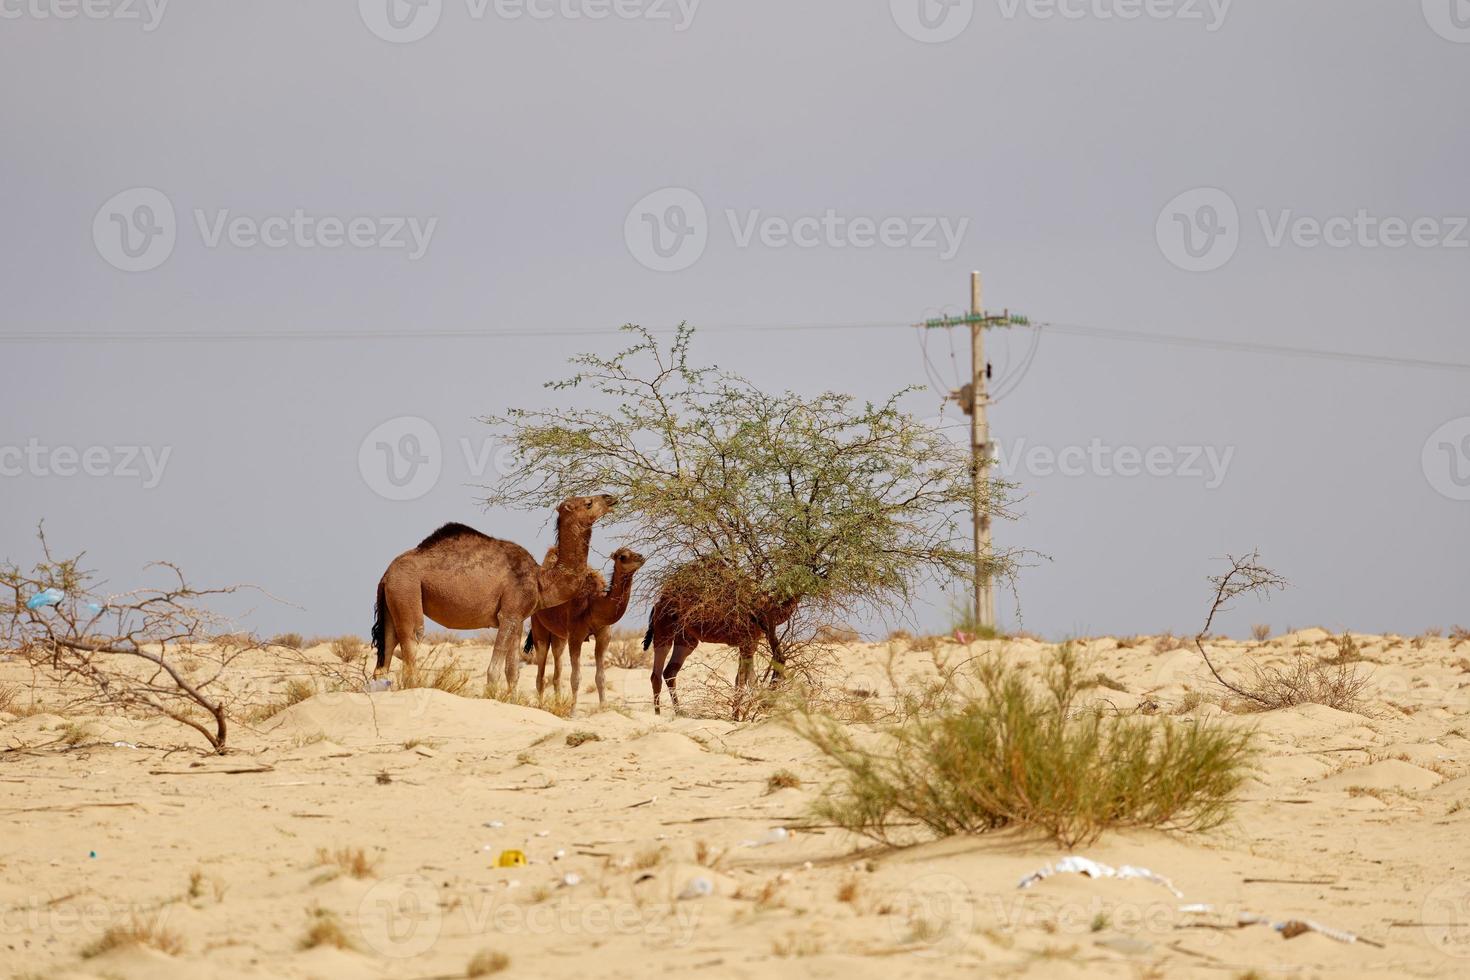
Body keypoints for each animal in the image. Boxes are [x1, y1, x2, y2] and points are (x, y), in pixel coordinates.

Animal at [373, 490, 620, 690]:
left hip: (391, 604)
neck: (540, 579)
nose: (610, 497)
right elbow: (493, 671)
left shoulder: (518, 618)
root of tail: (385, 575)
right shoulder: (508, 614)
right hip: (407, 589)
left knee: (385, 654)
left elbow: (512, 671)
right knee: (412, 641)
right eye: (588, 503)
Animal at [526, 543, 646, 714]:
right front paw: (573, 711)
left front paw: (604, 708)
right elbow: (575, 678)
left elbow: (601, 677)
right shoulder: (576, 637)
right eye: (622, 556)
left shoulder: (603, 635)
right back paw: (542, 707)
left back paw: (557, 705)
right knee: (540, 672)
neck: (592, 603)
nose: (641, 557)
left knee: (556, 669)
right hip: (538, 626)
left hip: (559, 636)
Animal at [640, 564, 799, 717]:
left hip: (686, 639)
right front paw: (737, 717)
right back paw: (658, 714)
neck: (770, 608)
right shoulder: (748, 642)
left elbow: (747, 679)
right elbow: (743, 679)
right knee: (657, 673)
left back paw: (679, 712)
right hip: (664, 629)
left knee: (669, 672)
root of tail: (657, 604)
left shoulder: (749, 643)